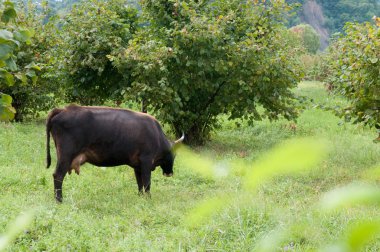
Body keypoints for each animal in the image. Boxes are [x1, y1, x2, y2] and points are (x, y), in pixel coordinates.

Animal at [45, 105, 183, 203]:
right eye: (174, 155)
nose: (169, 173)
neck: (156, 134)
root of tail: (64, 109)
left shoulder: (138, 166)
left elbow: (140, 183)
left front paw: (140, 197)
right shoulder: (146, 161)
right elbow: (147, 182)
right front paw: (148, 199)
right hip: (65, 156)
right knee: (58, 175)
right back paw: (59, 200)